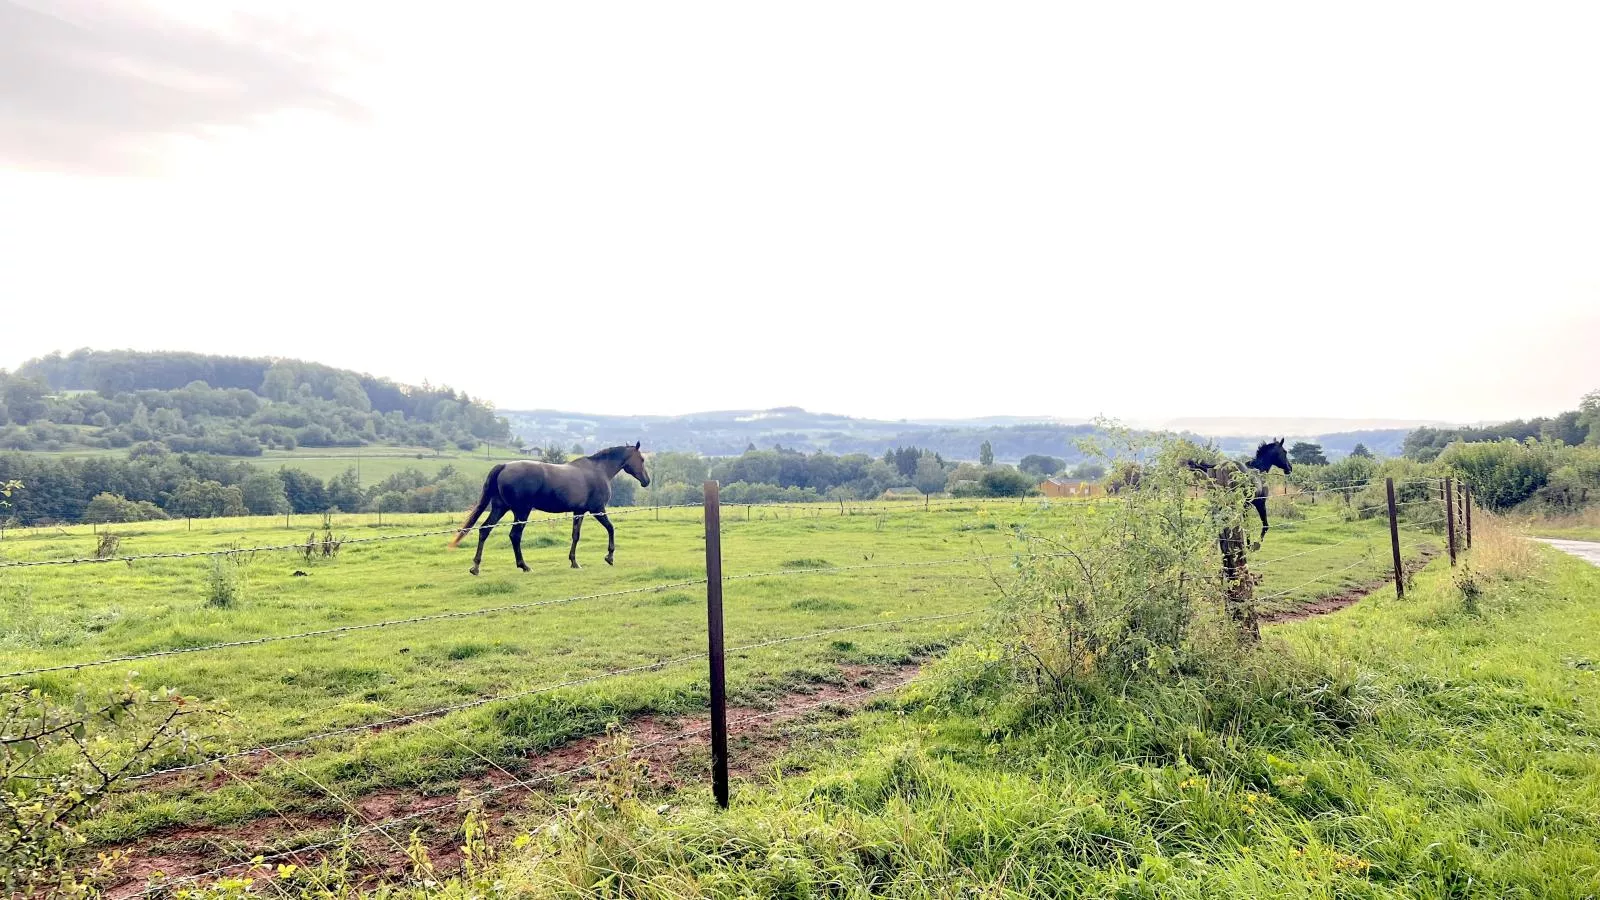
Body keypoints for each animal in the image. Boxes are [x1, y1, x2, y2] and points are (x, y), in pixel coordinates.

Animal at [444, 441, 649, 573]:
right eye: (642, 459)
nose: (647, 481)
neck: (598, 470)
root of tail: (504, 466)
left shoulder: (579, 512)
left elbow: (575, 535)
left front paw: (574, 562)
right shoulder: (597, 509)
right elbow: (611, 528)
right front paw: (609, 557)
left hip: (500, 508)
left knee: (484, 530)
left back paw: (476, 567)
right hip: (521, 511)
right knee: (514, 536)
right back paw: (523, 565)